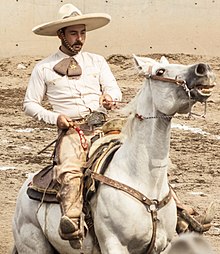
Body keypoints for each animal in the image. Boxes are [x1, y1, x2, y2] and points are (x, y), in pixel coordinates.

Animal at [12, 54, 215, 253]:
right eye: (160, 71)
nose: (203, 69)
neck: (142, 180)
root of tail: (25, 188)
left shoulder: (162, 245)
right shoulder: (114, 244)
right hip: (34, 245)